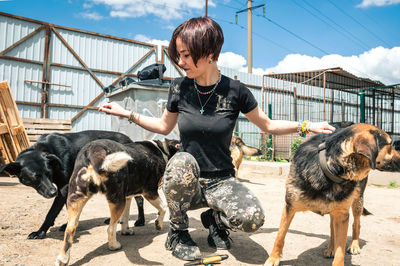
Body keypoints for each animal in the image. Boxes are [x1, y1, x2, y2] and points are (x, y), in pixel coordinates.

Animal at [0, 131, 144, 239]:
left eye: (48, 173)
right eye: (35, 177)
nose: (52, 192)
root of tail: (128, 139)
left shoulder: (64, 188)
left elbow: (51, 212)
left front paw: (40, 232)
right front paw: (67, 224)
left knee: (139, 199)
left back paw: (140, 220)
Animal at [54, 138, 179, 266]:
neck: (161, 149)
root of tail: (93, 149)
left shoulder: (127, 197)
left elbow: (125, 217)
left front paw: (125, 231)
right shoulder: (149, 191)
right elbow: (163, 207)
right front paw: (158, 224)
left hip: (75, 199)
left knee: (70, 230)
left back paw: (63, 259)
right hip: (117, 200)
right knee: (110, 228)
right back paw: (114, 246)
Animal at [264, 123, 398, 266]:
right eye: (390, 144)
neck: (331, 171)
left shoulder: (343, 214)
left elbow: (341, 250)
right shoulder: (289, 206)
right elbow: (280, 235)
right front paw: (273, 258)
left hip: (357, 201)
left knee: (356, 224)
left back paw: (354, 245)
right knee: (332, 227)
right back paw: (331, 248)